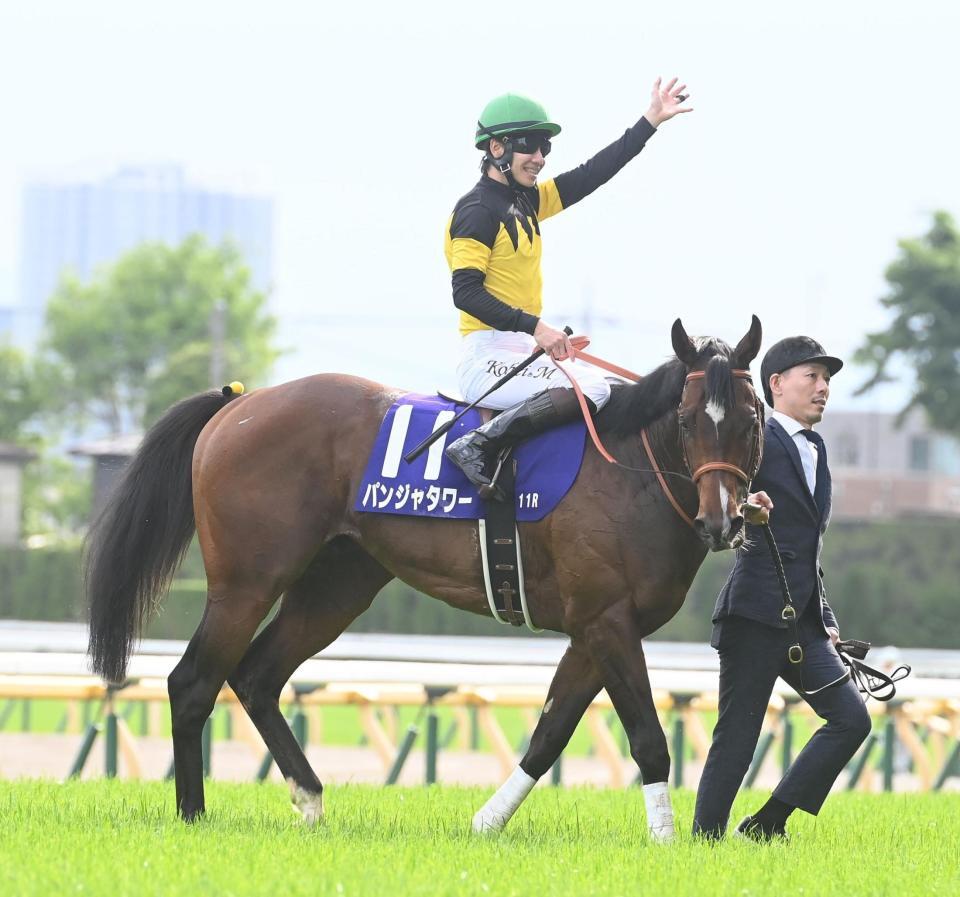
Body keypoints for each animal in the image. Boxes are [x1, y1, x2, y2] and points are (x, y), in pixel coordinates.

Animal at [85, 316, 764, 840]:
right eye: (688, 421)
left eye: (752, 420)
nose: (722, 520)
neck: (629, 467)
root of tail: (239, 406)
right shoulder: (607, 620)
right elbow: (646, 736)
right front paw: (666, 840)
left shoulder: (597, 628)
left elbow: (550, 732)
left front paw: (486, 824)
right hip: (246, 581)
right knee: (194, 682)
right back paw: (193, 816)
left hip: (338, 585)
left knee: (256, 677)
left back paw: (310, 799)